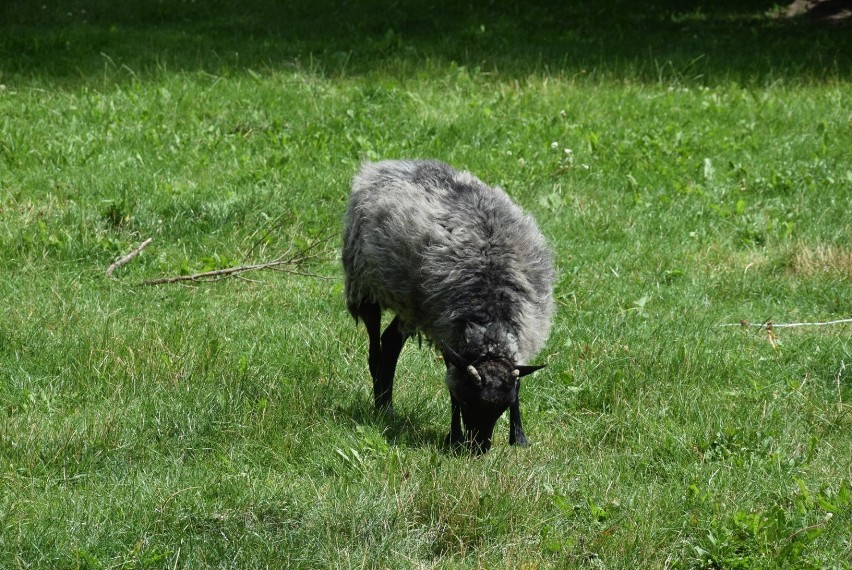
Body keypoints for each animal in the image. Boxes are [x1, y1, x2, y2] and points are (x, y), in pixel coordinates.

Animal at [342, 159, 556, 448]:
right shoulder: (448, 336)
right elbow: (451, 384)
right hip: (364, 283)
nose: (479, 449)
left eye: (502, 407)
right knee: (375, 349)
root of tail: (383, 165)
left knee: (390, 342)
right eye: (468, 400)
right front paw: (455, 438)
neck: (491, 320)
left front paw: (519, 437)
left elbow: (518, 385)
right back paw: (380, 406)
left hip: (412, 303)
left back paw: (387, 408)